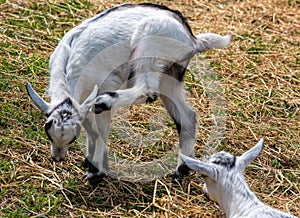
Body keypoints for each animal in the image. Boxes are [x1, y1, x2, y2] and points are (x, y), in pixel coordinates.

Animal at [27, 2, 231, 181]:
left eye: (73, 138)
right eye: (48, 132)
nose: (58, 158)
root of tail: (193, 39)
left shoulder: (106, 83)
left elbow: (100, 129)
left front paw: (96, 171)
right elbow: (91, 128)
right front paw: (90, 161)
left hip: (148, 50)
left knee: (148, 90)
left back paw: (106, 101)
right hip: (170, 76)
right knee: (187, 116)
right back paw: (182, 169)